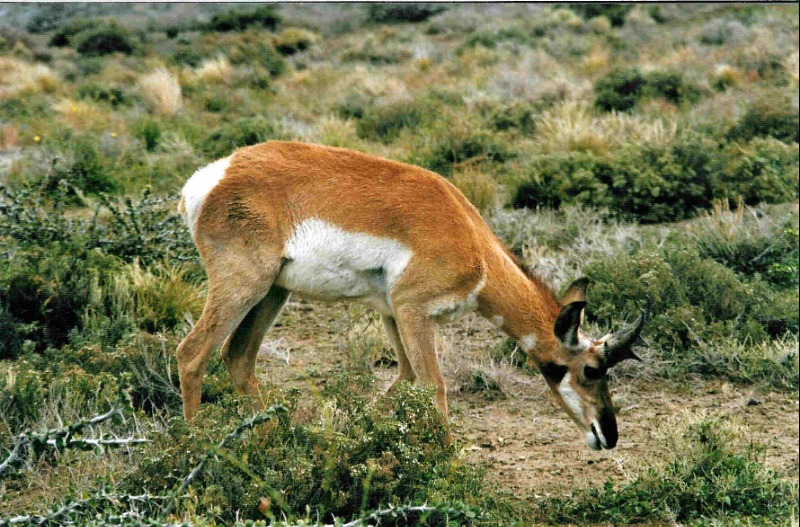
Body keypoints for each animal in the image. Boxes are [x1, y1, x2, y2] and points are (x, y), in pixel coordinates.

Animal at [176, 140, 648, 450]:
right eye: (590, 369)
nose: (608, 435)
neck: (470, 239)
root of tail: (214, 175)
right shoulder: (413, 312)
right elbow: (434, 386)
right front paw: (449, 465)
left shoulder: (392, 314)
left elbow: (405, 379)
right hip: (245, 287)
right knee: (192, 353)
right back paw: (198, 447)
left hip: (274, 292)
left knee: (238, 357)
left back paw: (276, 441)